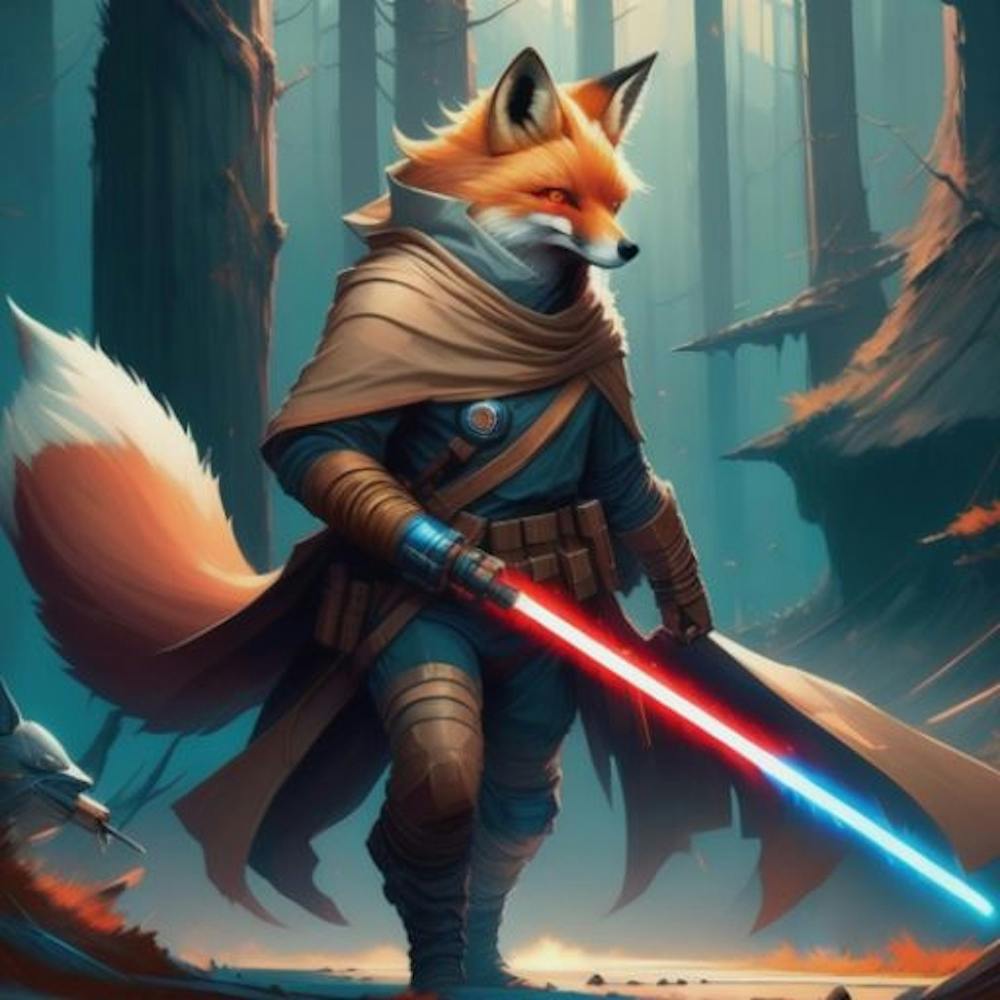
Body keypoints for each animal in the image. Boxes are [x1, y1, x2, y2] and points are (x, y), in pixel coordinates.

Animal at [0, 51, 653, 716]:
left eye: (615, 201)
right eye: (558, 195)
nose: (629, 248)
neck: (513, 308)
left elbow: (629, 488)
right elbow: (316, 447)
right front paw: (461, 564)